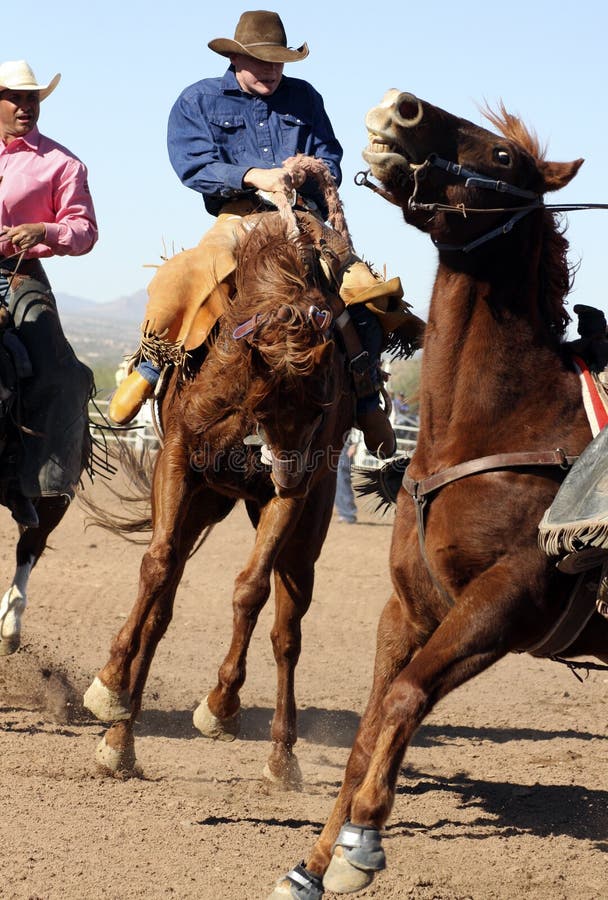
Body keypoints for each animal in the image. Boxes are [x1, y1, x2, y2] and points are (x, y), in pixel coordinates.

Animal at [81, 211, 358, 788]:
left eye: (324, 408)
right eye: (270, 405)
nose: (291, 474)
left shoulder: (288, 501)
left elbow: (250, 590)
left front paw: (222, 705)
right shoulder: (178, 461)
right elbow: (157, 566)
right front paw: (110, 685)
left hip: (306, 531)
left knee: (287, 632)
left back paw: (282, 756)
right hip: (201, 502)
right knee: (161, 606)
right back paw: (120, 738)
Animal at [268, 89, 608, 892]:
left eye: (505, 155)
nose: (402, 107)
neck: (496, 426)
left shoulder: (510, 602)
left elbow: (405, 697)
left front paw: (362, 842)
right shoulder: (411, 608)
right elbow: (367, 732)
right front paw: (312, 865)